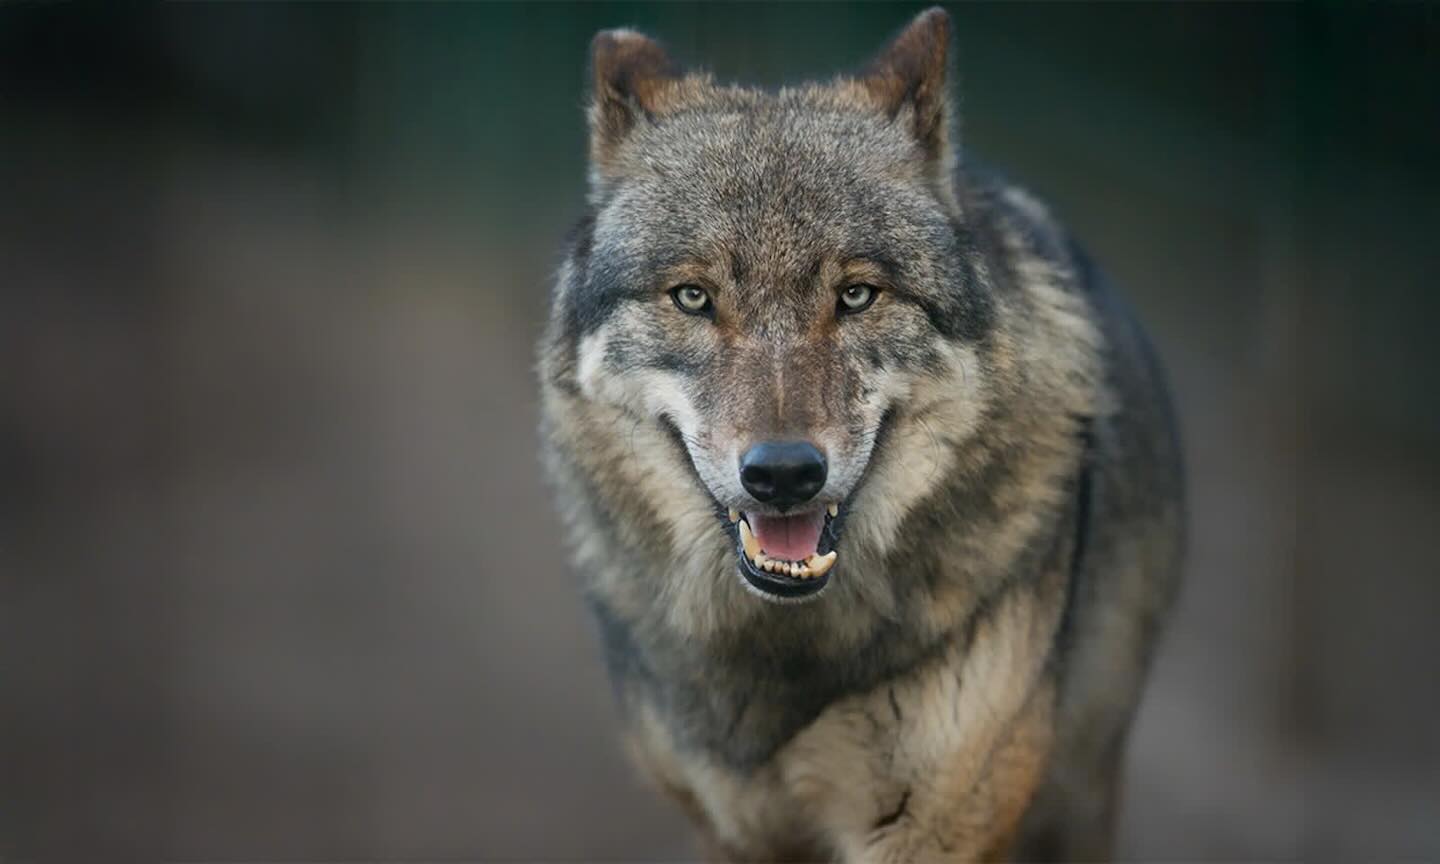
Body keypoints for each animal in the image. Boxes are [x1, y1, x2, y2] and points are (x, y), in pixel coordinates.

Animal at [538, 8, 1183, 861]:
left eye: (856, 296)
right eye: (693, 298)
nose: (783, 474)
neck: (786, 652)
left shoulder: (934, 829)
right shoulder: (732, 829)